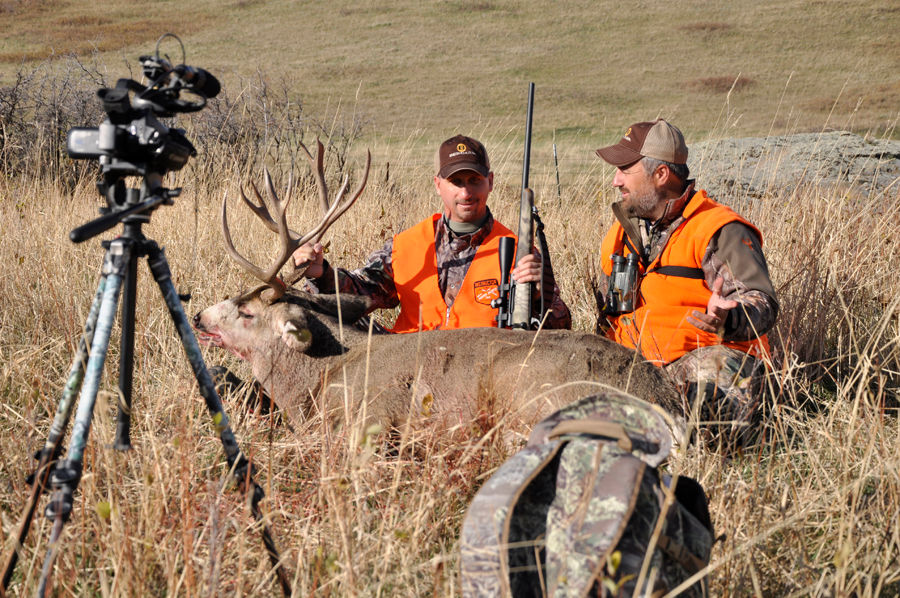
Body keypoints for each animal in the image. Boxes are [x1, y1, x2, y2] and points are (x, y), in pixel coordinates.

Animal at [193, 140, 681, 440]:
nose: (198, 316)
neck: (318, 377)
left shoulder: (372, 418)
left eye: (247, 312)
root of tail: (666, 401)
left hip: (532, 393)